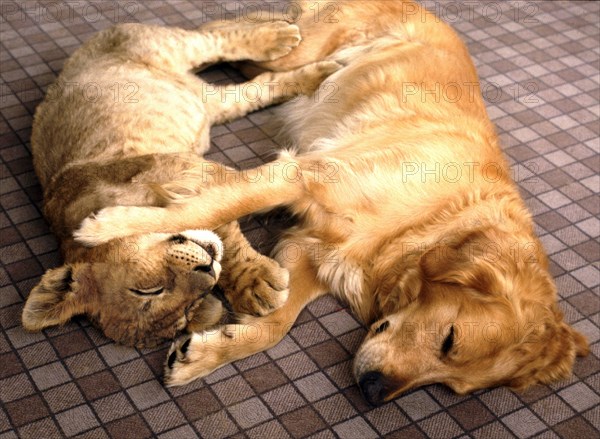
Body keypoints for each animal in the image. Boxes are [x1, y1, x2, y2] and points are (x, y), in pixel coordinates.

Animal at [22, 20, 338, 348]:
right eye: (190, 306)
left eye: (147, 290)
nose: (207, 268)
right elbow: (215, 221)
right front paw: (248, 281)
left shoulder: (179, 166)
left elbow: (218, 213)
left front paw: (254, 280)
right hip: (212, 104)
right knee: (256, 86)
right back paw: (316, 73)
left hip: (170, 46)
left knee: (216, 34)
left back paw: (280, 34)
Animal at [74, 0, 584, 406]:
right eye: (450, 340)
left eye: (451, 385)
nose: (374, 393)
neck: (428, 223)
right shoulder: (303, 175)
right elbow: (209, 207)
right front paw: (112, 227)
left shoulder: (312, 254)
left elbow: (276, 324)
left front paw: (204, 353)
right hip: (302, 45)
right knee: (237, 34)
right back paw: (271, 34)